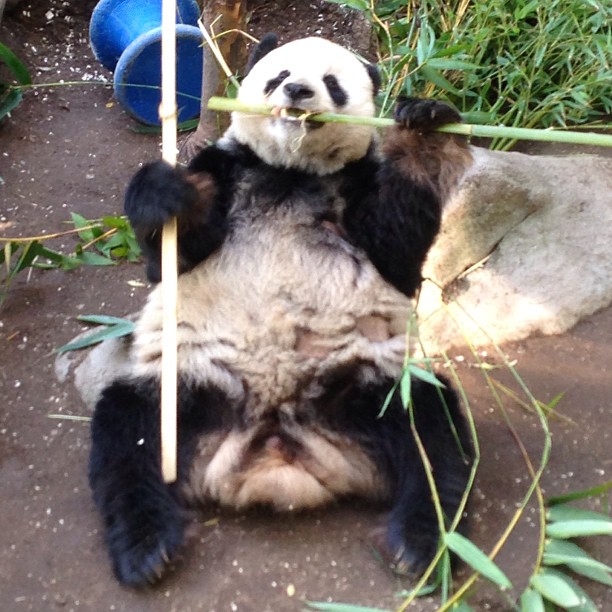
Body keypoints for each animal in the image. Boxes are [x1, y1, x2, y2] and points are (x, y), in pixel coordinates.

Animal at [88, 34, 476, 588]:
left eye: (333, 83)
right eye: (280, 74)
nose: (297, 91)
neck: (290, 172)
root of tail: (272, 449)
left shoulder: (357, 185)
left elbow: (397, 243)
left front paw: (424, 122)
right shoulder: (228, 168)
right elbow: (170, 258)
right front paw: (167, 193)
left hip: (368, 386)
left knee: (433, 429)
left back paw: (423, 545)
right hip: (188, 387)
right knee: (128, 432)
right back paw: (146, 548)